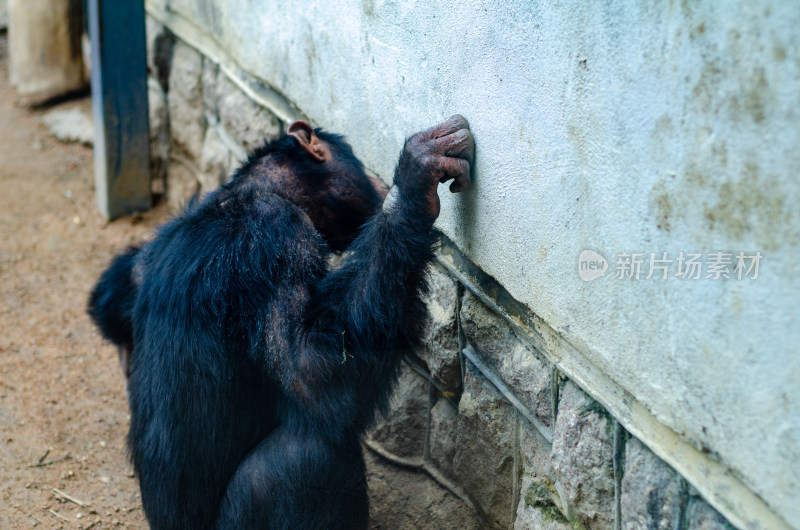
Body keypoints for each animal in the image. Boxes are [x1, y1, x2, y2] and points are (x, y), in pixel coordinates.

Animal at [87, 113, 476, 524]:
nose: (379, 183)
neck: (246, 192)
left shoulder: (152, 252)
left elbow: (120, 285)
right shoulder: (278, 238)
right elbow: (312, 371)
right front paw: (415, 183)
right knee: (306, 454)